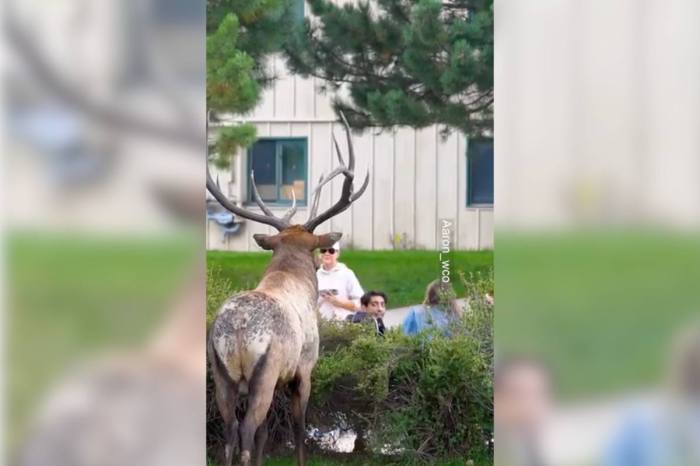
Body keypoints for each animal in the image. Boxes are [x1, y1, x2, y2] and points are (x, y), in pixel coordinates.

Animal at [207, 113, 369, 466]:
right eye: (316, 248)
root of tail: (237, 331)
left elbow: (267, 432)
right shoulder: (304, 368)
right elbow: (298, 427)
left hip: (221, 373)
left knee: (229, 431)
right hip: (263, 373)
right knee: (245, 429)